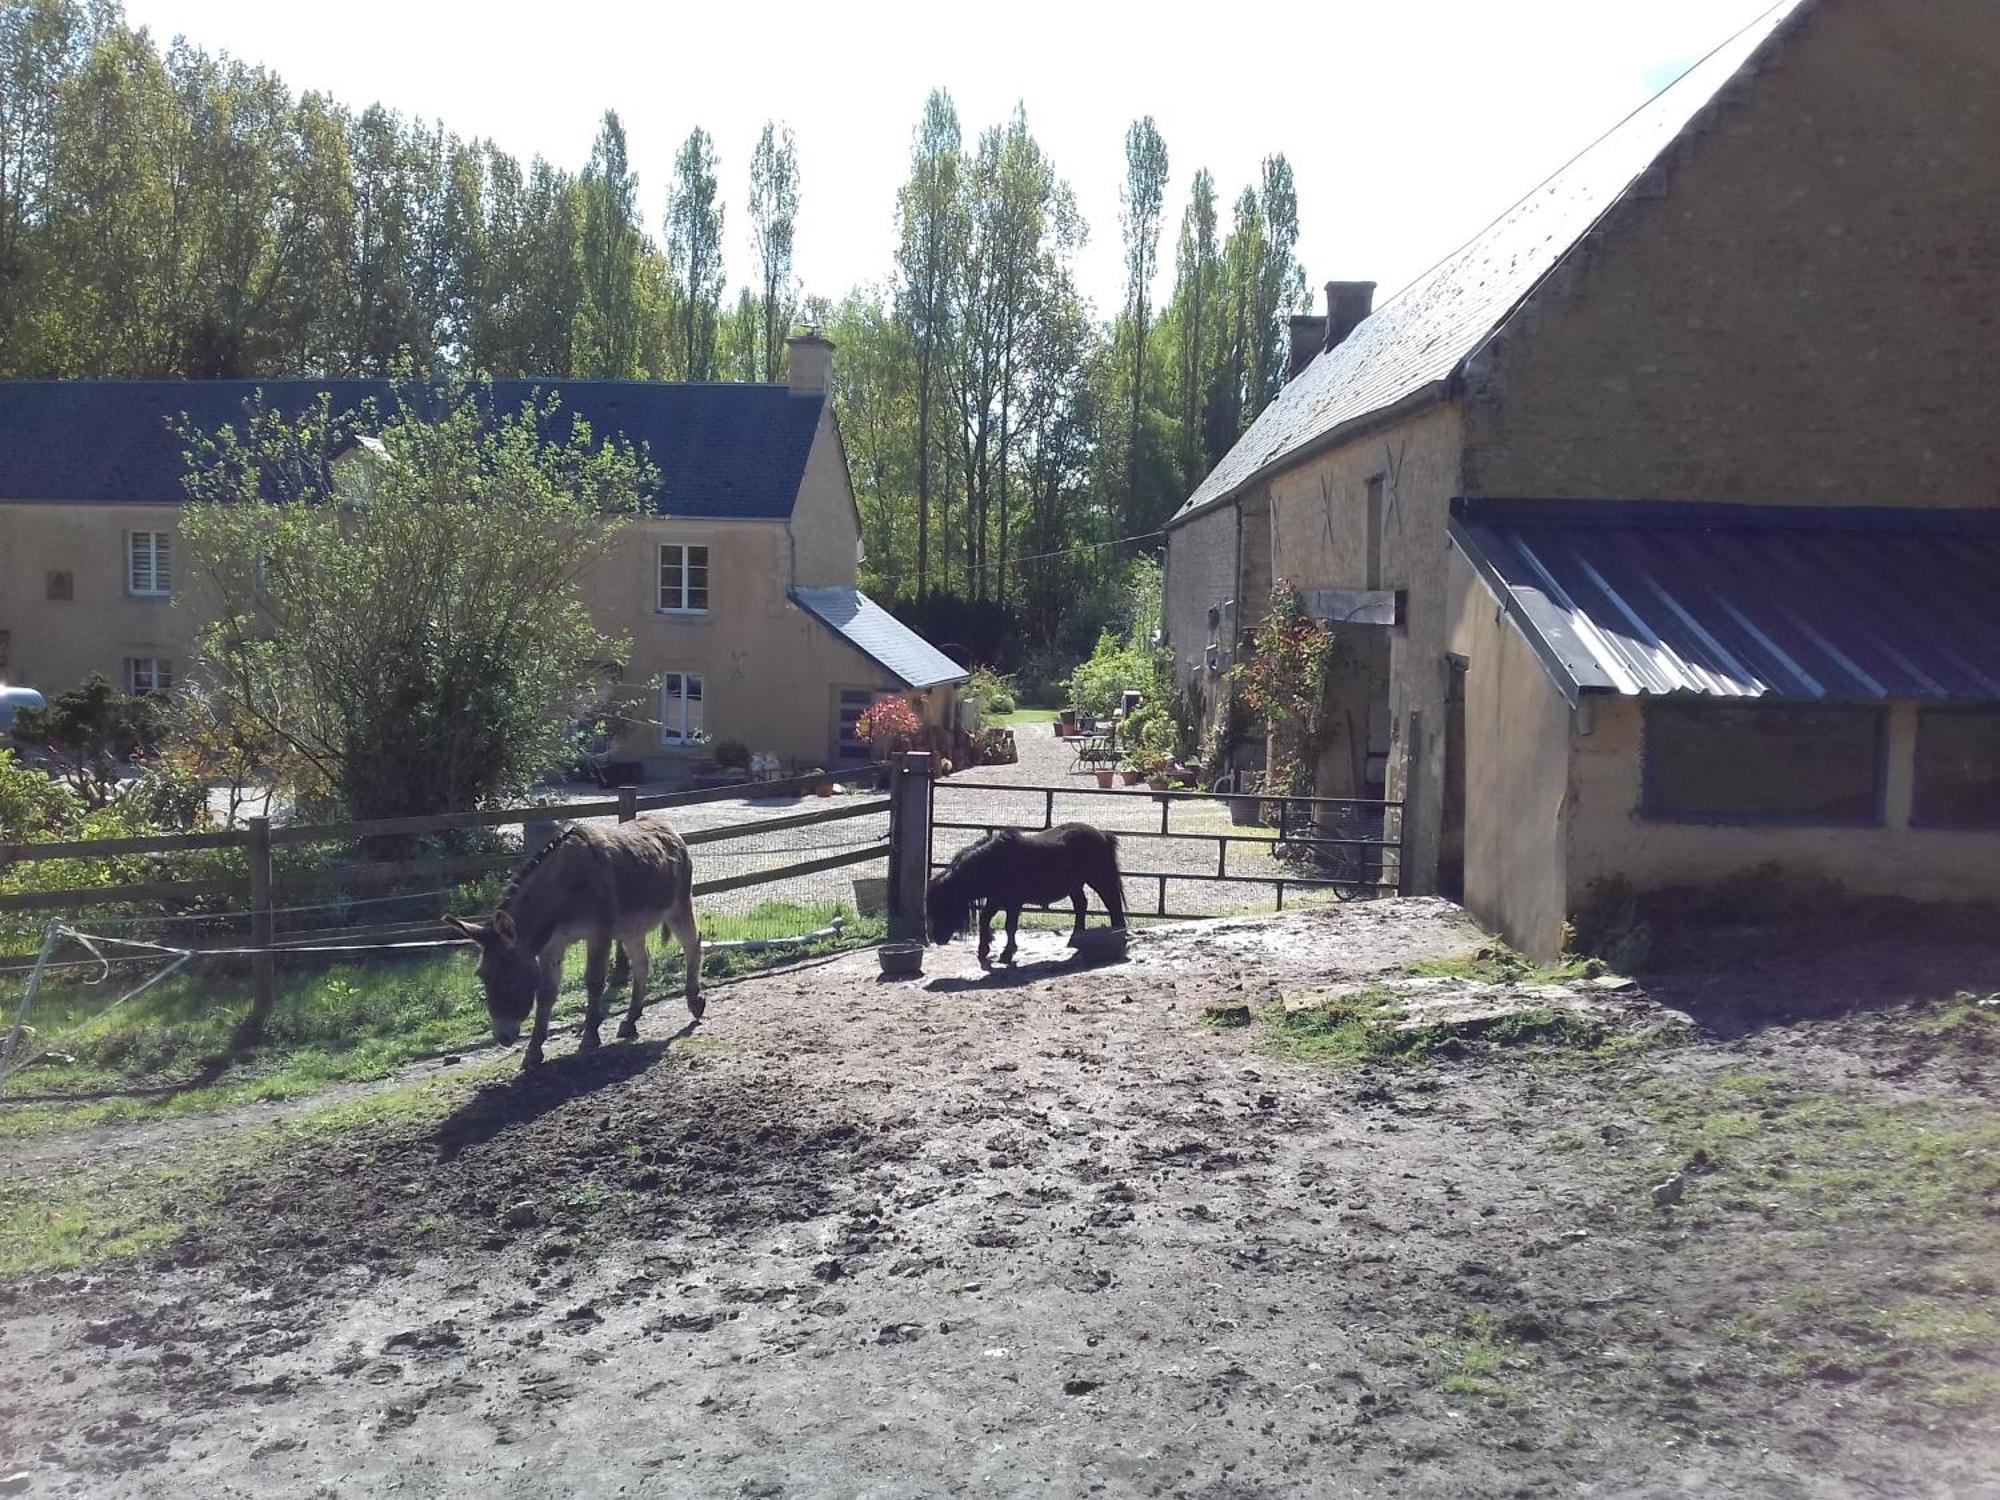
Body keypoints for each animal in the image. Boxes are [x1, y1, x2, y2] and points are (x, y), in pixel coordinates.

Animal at [924, 824, 1128, 976]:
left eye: (944, 905)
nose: (938, 938)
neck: (994, 863)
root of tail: (1102, 835)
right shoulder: (995, 900)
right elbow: (985, 920)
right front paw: (984, 950)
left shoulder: (1013, 903)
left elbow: (1010, 927)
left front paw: (1006, 954)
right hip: (1075, 885)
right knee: (1081, 905)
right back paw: (1075, 939)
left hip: (1099, 879)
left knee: (1113, 904)